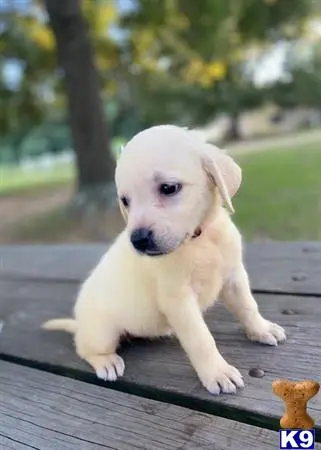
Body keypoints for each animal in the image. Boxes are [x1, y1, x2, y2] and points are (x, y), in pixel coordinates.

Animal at [43, 124, 284, 394]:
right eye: (125, 200)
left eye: (169, 188)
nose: (137, 240)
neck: (198, 240)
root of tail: (80, 325)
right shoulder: (178, 299)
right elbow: (201, 338)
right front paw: (217, 373)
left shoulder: (233, 277)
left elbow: (248, 306)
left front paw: (261, 330)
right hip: (102, 333)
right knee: (84, 348)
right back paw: (105, 361)